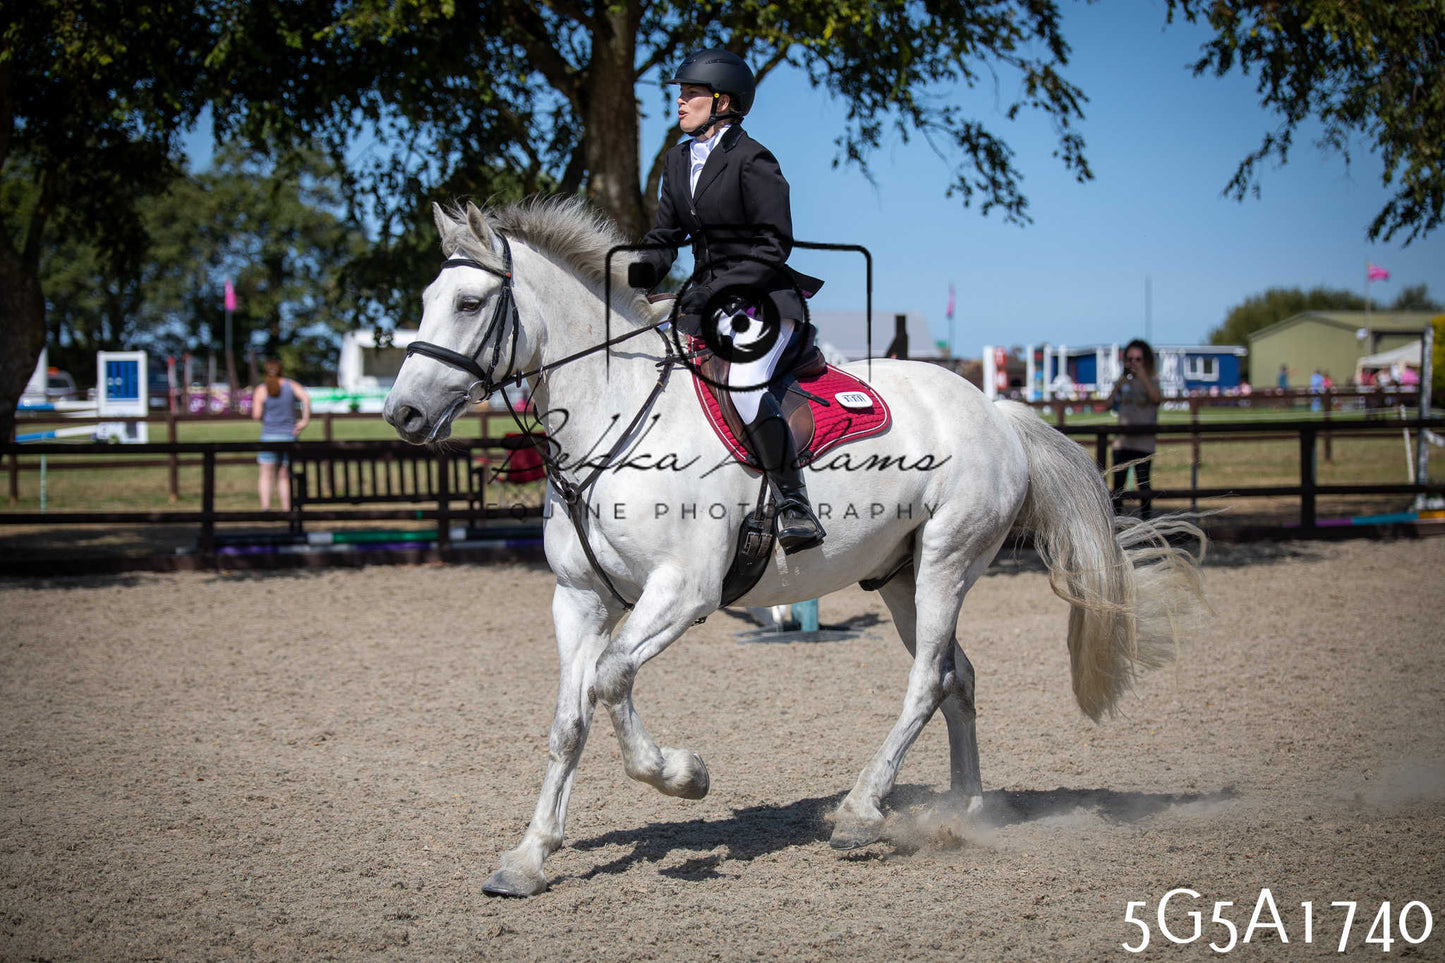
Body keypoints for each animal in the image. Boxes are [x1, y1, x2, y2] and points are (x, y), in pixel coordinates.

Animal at [383, 197, 1207, 897]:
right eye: (424, 302)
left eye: (468, 304)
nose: (402, 413)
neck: (612, 420)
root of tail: (994, 408)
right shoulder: (578, 600)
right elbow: (570, 718)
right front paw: (528, 857)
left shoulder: (682, 591)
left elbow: (611, 680)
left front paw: (684, 775)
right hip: (901, 575)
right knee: (956, 678)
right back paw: (966, 811)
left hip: (948, 559)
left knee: (926, 680)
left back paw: (861, 812)